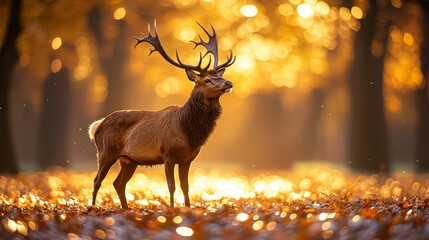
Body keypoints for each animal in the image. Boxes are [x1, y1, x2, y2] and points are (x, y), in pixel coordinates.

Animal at [87, 20, 234, 208]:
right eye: (207, 80)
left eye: (220, 76)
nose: (228, 83)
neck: (188, 131)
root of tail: (97, 125)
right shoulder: (167, 154)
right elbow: (171, 186)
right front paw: (171, 208)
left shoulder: (187, 159)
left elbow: (186, 187)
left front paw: (188, 208)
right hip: (106, 151)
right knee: (97, 180)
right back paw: (92, 207)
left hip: (129, 159)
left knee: (118, 183)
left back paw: (126, 209)